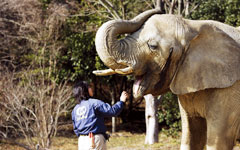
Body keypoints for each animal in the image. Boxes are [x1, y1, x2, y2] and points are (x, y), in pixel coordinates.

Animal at [93, 8, 240, 149]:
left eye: (152, 46)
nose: (160, 10)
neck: (192, 26)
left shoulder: (230, 90)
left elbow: (219, 142)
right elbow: (191, 136)